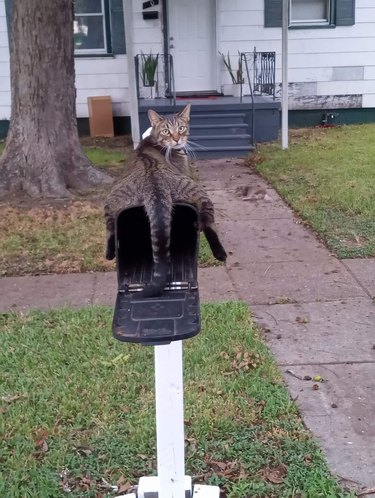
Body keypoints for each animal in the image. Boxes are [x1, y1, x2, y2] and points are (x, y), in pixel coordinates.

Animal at [104, 101, 228, 296]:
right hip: (200, 193)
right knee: (208, 223)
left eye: (181, 128)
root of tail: (154, 185)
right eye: (166, 131)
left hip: (112, 201)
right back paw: (220, 253)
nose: (177, 139)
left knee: (110, 228)